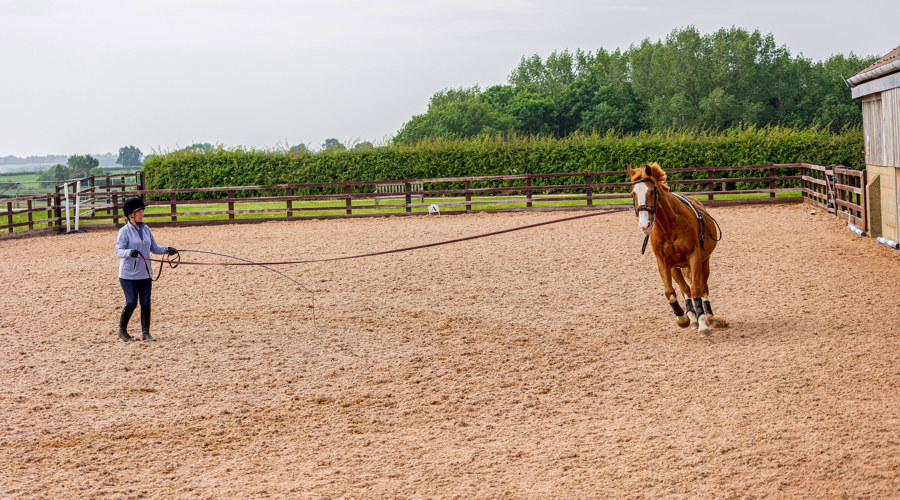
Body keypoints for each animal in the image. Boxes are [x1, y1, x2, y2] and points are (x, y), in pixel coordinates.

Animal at [626, 162, 720, 336]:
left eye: (651, 191)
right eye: (633, 193)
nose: (644, 225)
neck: (669, 224)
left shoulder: (694, 257)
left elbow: (697, 288)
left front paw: (703, 324)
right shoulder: (663, 262)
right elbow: (670, 291)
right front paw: (682, 318)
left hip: (704, 262)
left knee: (703, 287)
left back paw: (708, 316)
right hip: (676, 267)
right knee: (685, 289)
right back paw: (692, 317)